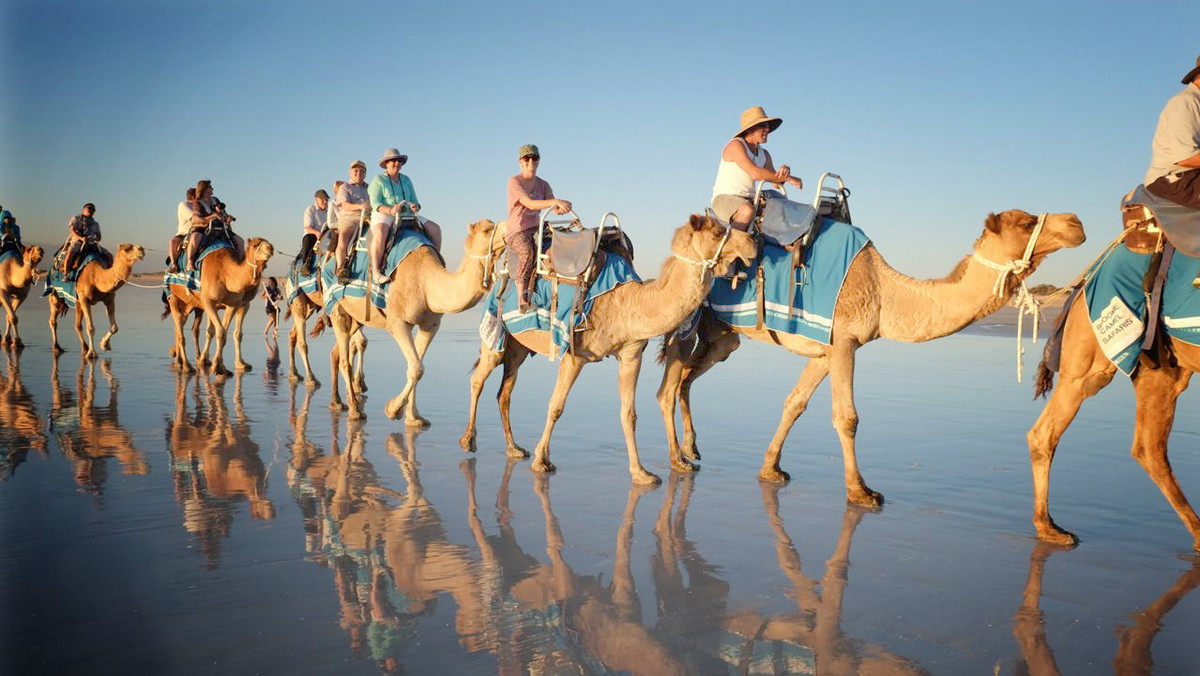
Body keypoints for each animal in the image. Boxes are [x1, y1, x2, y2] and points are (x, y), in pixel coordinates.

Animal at [164, 236, 274, 374]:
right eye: (255, 245)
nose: (270, 248)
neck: (225, 273)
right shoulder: (208, 301)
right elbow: (220, 331)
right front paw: (216, 366)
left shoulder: (236, 304)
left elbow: (232, 333)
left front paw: (236, 364)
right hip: (173, 297)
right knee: (180, 332)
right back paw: (186, 366)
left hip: (188, 303)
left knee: (179, 326)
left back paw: (180, 360)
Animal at [326, 220, 504, 422]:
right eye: (487, 230)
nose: (508, 229)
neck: (427, 283)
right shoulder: (397, 323)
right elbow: (417, 368)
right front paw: (393, 409)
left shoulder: (430, 325)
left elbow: (416, 367)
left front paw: (414, 417)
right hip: (337, 309)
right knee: (344, 359)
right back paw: (355, 410)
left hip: (356, 317)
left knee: (338, 353)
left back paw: (338, 401)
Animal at [458, 213, 758, 485]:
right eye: (717, 232)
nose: (752, 243)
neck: (630, 300)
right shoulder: (574, 355)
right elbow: (556, 406)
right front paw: (542, 461)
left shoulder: (631, 353)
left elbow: (629, 414)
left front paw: (641, 473)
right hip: (497, 335)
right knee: (477, 379)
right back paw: (468, 441)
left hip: (518, 346)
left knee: (505, 392)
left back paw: (513, 448)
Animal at [657, 208, 1089, 504]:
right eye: (1025, 222)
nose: (1076, 223)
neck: (884, 292)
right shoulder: (845, 341)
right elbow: (847, 417)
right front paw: (860, 491)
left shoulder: (825, 350)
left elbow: (795, 403)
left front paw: (771, 469)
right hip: (689, 317)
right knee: (669, 386)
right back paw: (677, 460)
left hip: (721, 335)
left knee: (687, 379)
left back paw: (692, 449)